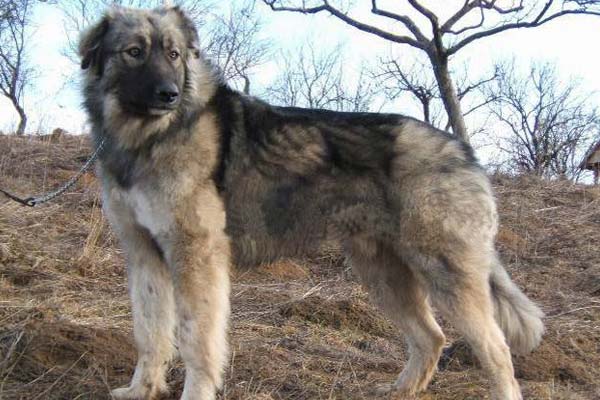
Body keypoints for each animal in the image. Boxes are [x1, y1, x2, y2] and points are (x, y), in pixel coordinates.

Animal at [78, 6, 544, 400]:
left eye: (173, 54)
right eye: (134, 52)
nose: (169, 94)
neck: (149, 138)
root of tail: (464, 151)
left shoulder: (196, 256)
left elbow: (197, 339)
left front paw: (195, 392)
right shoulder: (144, 254)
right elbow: (150, 332)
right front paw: (140, 390)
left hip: (445, 273)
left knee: (496, 350)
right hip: (382, 273)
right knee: (432, 337)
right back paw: (400, 391)